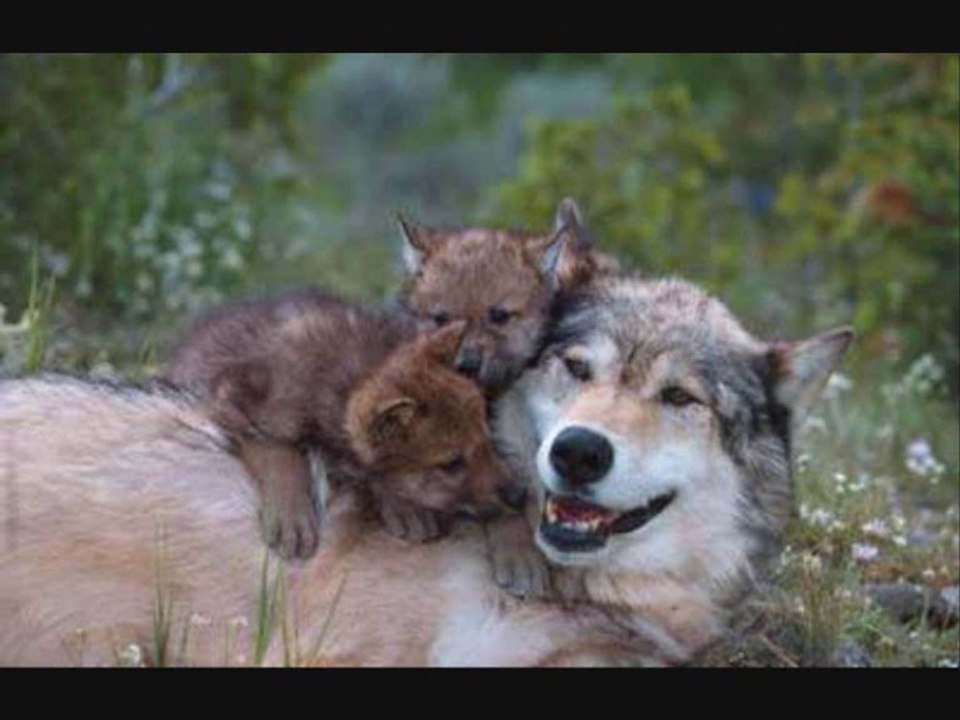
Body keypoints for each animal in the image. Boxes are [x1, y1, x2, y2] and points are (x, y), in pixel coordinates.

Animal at [165, 290, 516, 560]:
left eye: (486, 440)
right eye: (452, 464)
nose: (519, 494)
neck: (346, 379)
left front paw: (401, 504)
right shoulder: (227, 397)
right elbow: (277, 449)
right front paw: (292, 515)